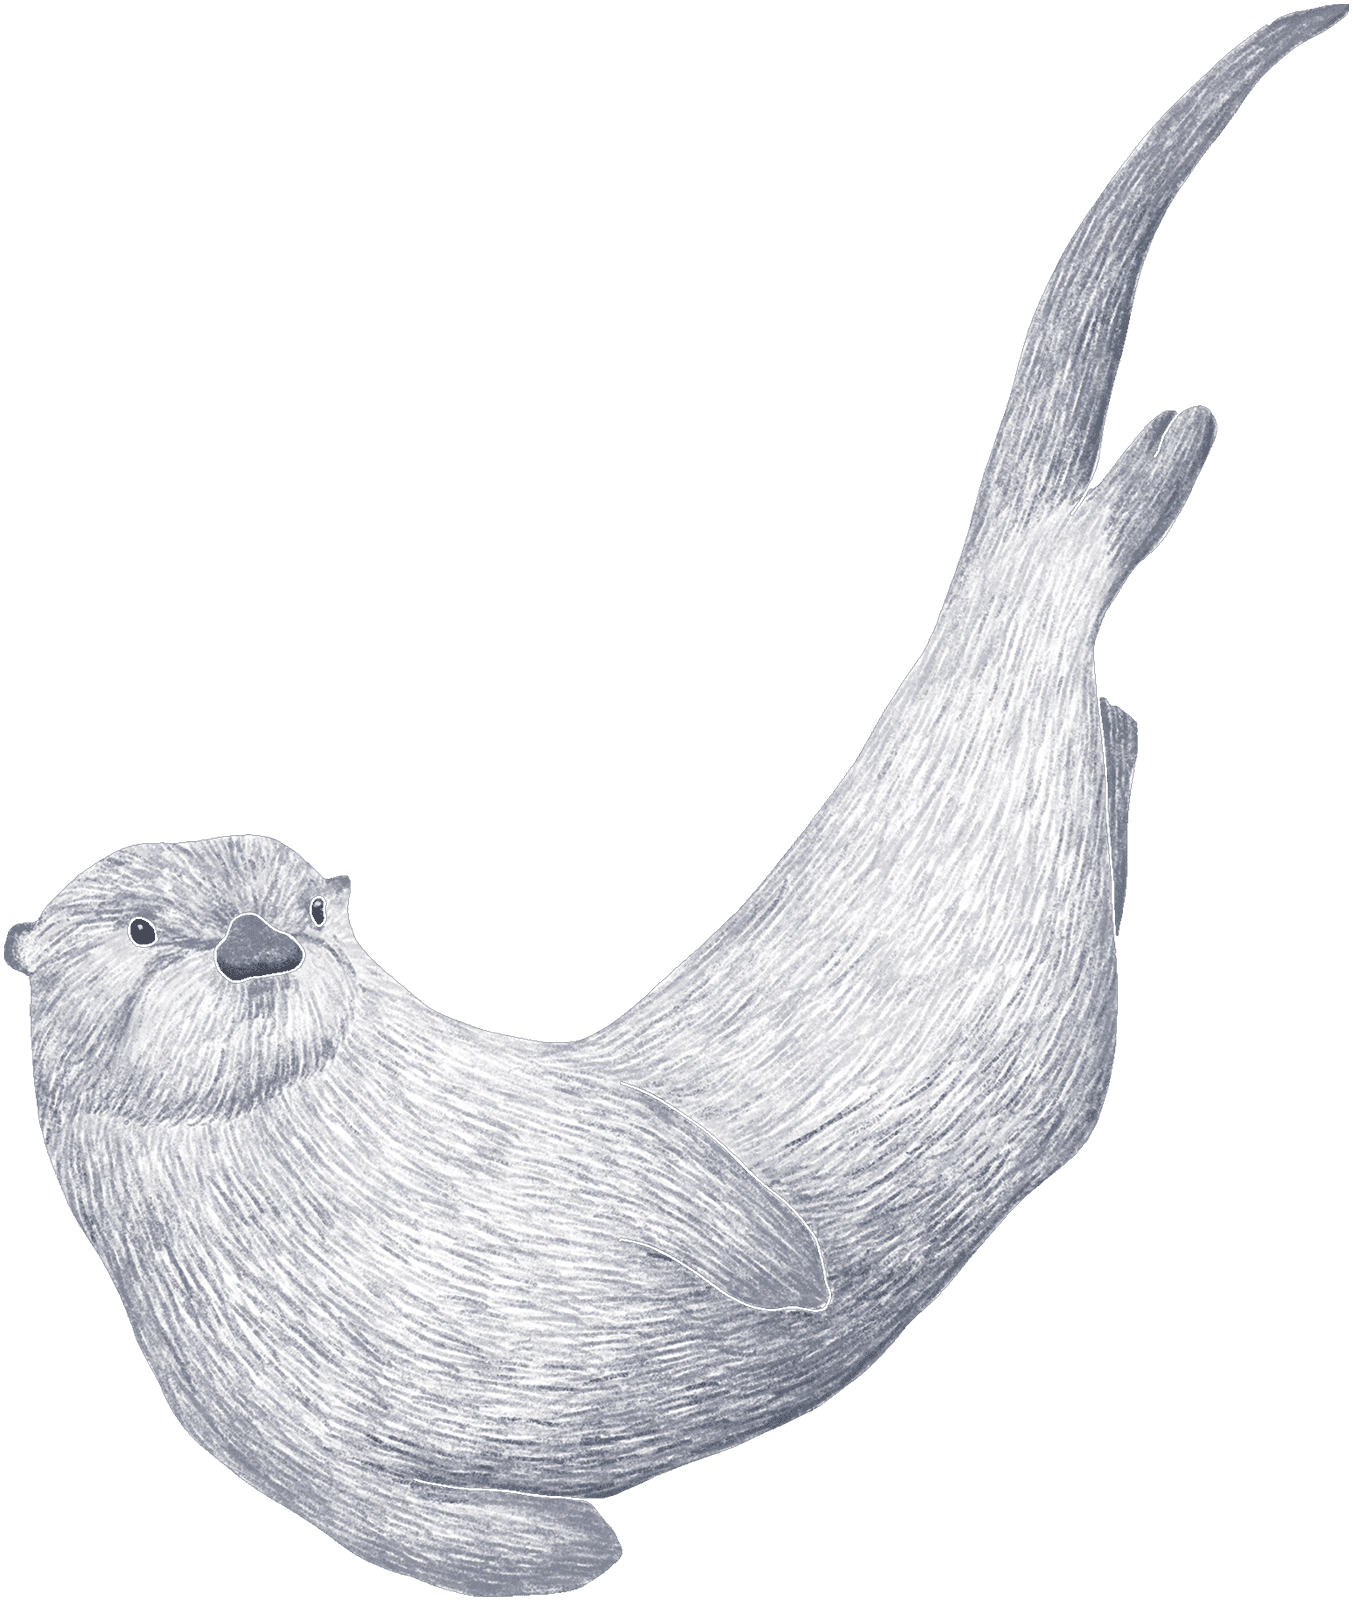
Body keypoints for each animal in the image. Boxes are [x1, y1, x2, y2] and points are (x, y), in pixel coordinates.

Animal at [6, 8, 1345, 1595]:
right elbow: (437, 1529)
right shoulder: (257, 1423)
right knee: (1115, 728)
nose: (260, 948)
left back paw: (1169, 454)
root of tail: (1024, 561)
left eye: (313, 907)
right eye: (145, 929)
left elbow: (667, 1160)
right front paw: (569, 1541)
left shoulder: (563, 1119)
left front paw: (792, 1273)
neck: (342, 1223)